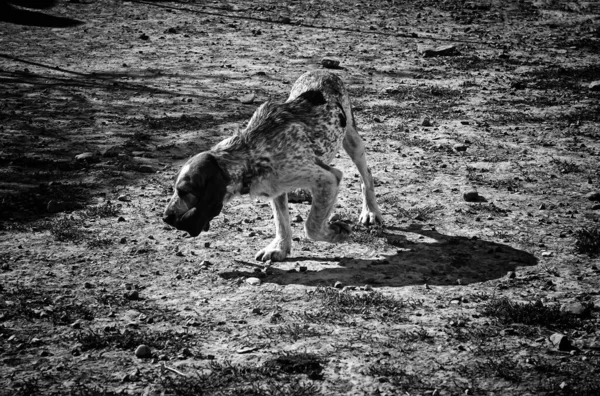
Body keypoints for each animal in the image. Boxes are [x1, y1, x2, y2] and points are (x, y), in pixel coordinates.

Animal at [162, 70, 382, 262]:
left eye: (185, 191)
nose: (165, 217)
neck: (249, 156)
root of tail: (323, 71)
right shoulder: (277, 188)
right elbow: (282, 222)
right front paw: (280, 248)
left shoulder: (328, 178)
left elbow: (311, 226)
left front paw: (337, 233)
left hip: (353, 143)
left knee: (367, 176)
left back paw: (370, 211)